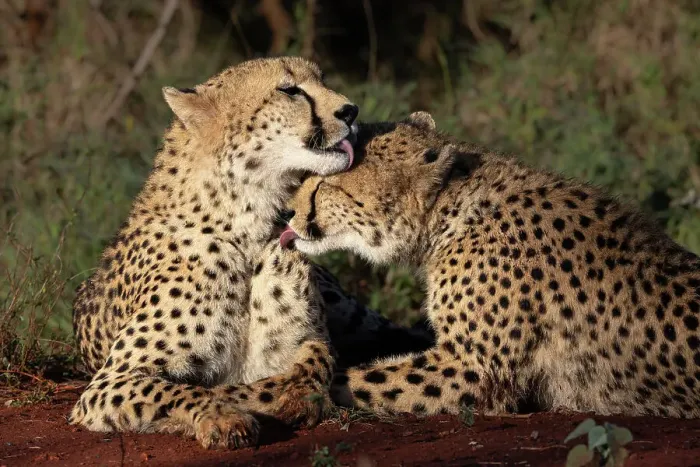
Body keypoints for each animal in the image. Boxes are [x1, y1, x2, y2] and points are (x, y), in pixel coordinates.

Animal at [69, 57, 431, 450]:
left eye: (322, 80)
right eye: (289, 90)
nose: (351, 111)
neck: (249, 229)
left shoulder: (309, 336)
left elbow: (317, 355)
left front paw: (294, 393)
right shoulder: (111, 381)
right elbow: (181, 391)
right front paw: (223, 417)